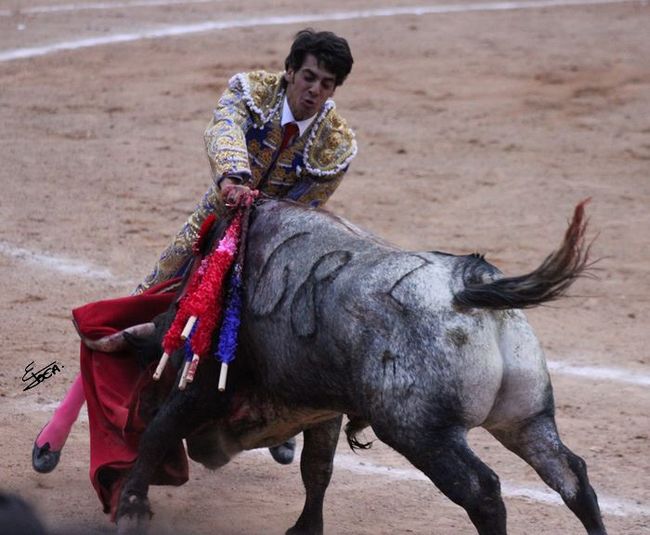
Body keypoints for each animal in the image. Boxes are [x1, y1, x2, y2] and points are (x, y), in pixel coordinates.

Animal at [90, 199, 604, 532]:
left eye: (148, 369)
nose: (206, 454)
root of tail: (467, 283)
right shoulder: (323, 410)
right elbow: (318, 470)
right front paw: (305, 530)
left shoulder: (205, 384)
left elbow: (160, 431)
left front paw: (132, 507)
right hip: (526, 416)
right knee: (571, 476)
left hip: (421, 432)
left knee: (484, 491)